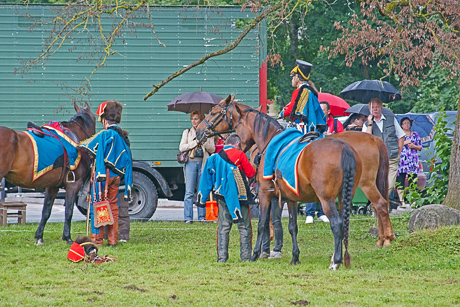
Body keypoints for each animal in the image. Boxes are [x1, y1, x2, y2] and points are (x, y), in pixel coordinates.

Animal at [0, 103, 95, 245]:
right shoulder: (73, 185)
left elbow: (46, 211)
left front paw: (39, 237)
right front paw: (67, 237)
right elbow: (69, 212)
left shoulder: (52, 186)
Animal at [197, 97, 396, 250]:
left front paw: (268, 240)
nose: (199, 131)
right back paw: (382, 238)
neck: (270, 140)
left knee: (380, 205)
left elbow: (268, 218)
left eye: (214, 112)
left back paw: (386, 239)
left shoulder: (266, 190)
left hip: (365, 184)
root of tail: (373, 138)